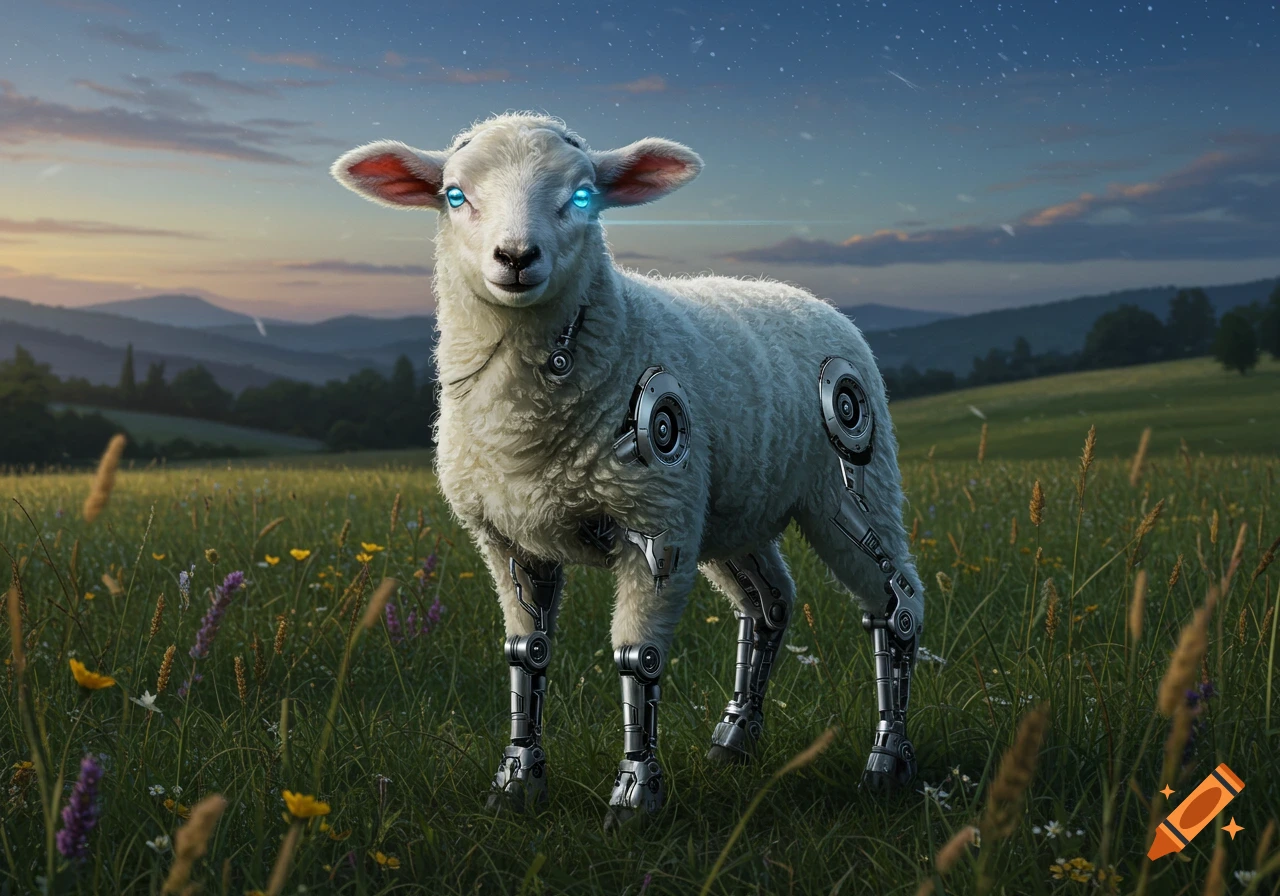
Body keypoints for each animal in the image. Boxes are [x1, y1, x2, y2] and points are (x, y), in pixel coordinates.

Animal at [331, 112, 925, 828]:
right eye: (454, 195)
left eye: (584, 196)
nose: (516, 258)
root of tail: (808, 298)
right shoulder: (508, 538)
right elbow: (525, 655)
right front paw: (516, 780)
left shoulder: (656, 524)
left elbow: (636, 658)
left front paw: (636, 797)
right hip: (732, 510)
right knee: (769, 604)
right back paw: (735, 738)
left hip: (850, 484)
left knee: (895, 604)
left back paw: (888, 759)